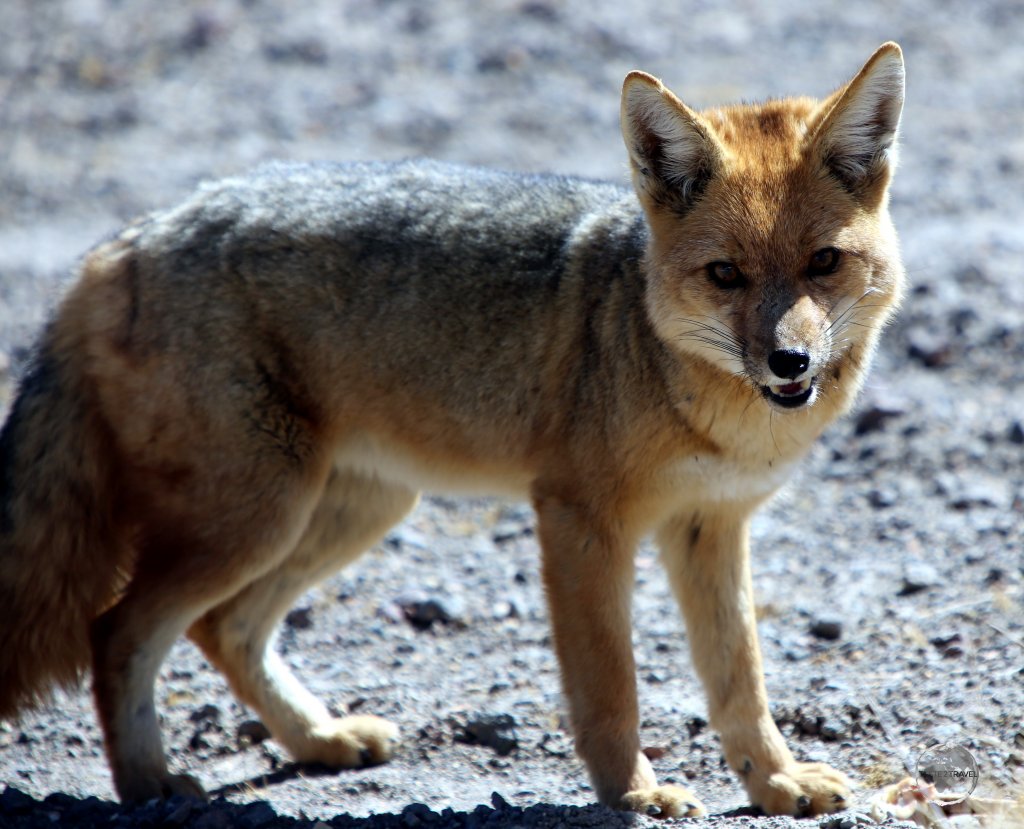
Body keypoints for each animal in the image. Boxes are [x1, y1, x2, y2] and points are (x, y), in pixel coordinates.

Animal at [0, 43, 909, 814]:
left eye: (823, 263)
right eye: (726, 275)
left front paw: (775, 782)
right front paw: (634, 793)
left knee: (221, 627)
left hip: (345, 512)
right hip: (255, 520)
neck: (713, 412)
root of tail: (123, 241)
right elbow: (610, 685)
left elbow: (739, 679)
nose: (789, 362)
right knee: (117, 629)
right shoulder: (580, 522)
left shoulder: (709, 526)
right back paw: (149, 782)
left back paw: (317, 737)